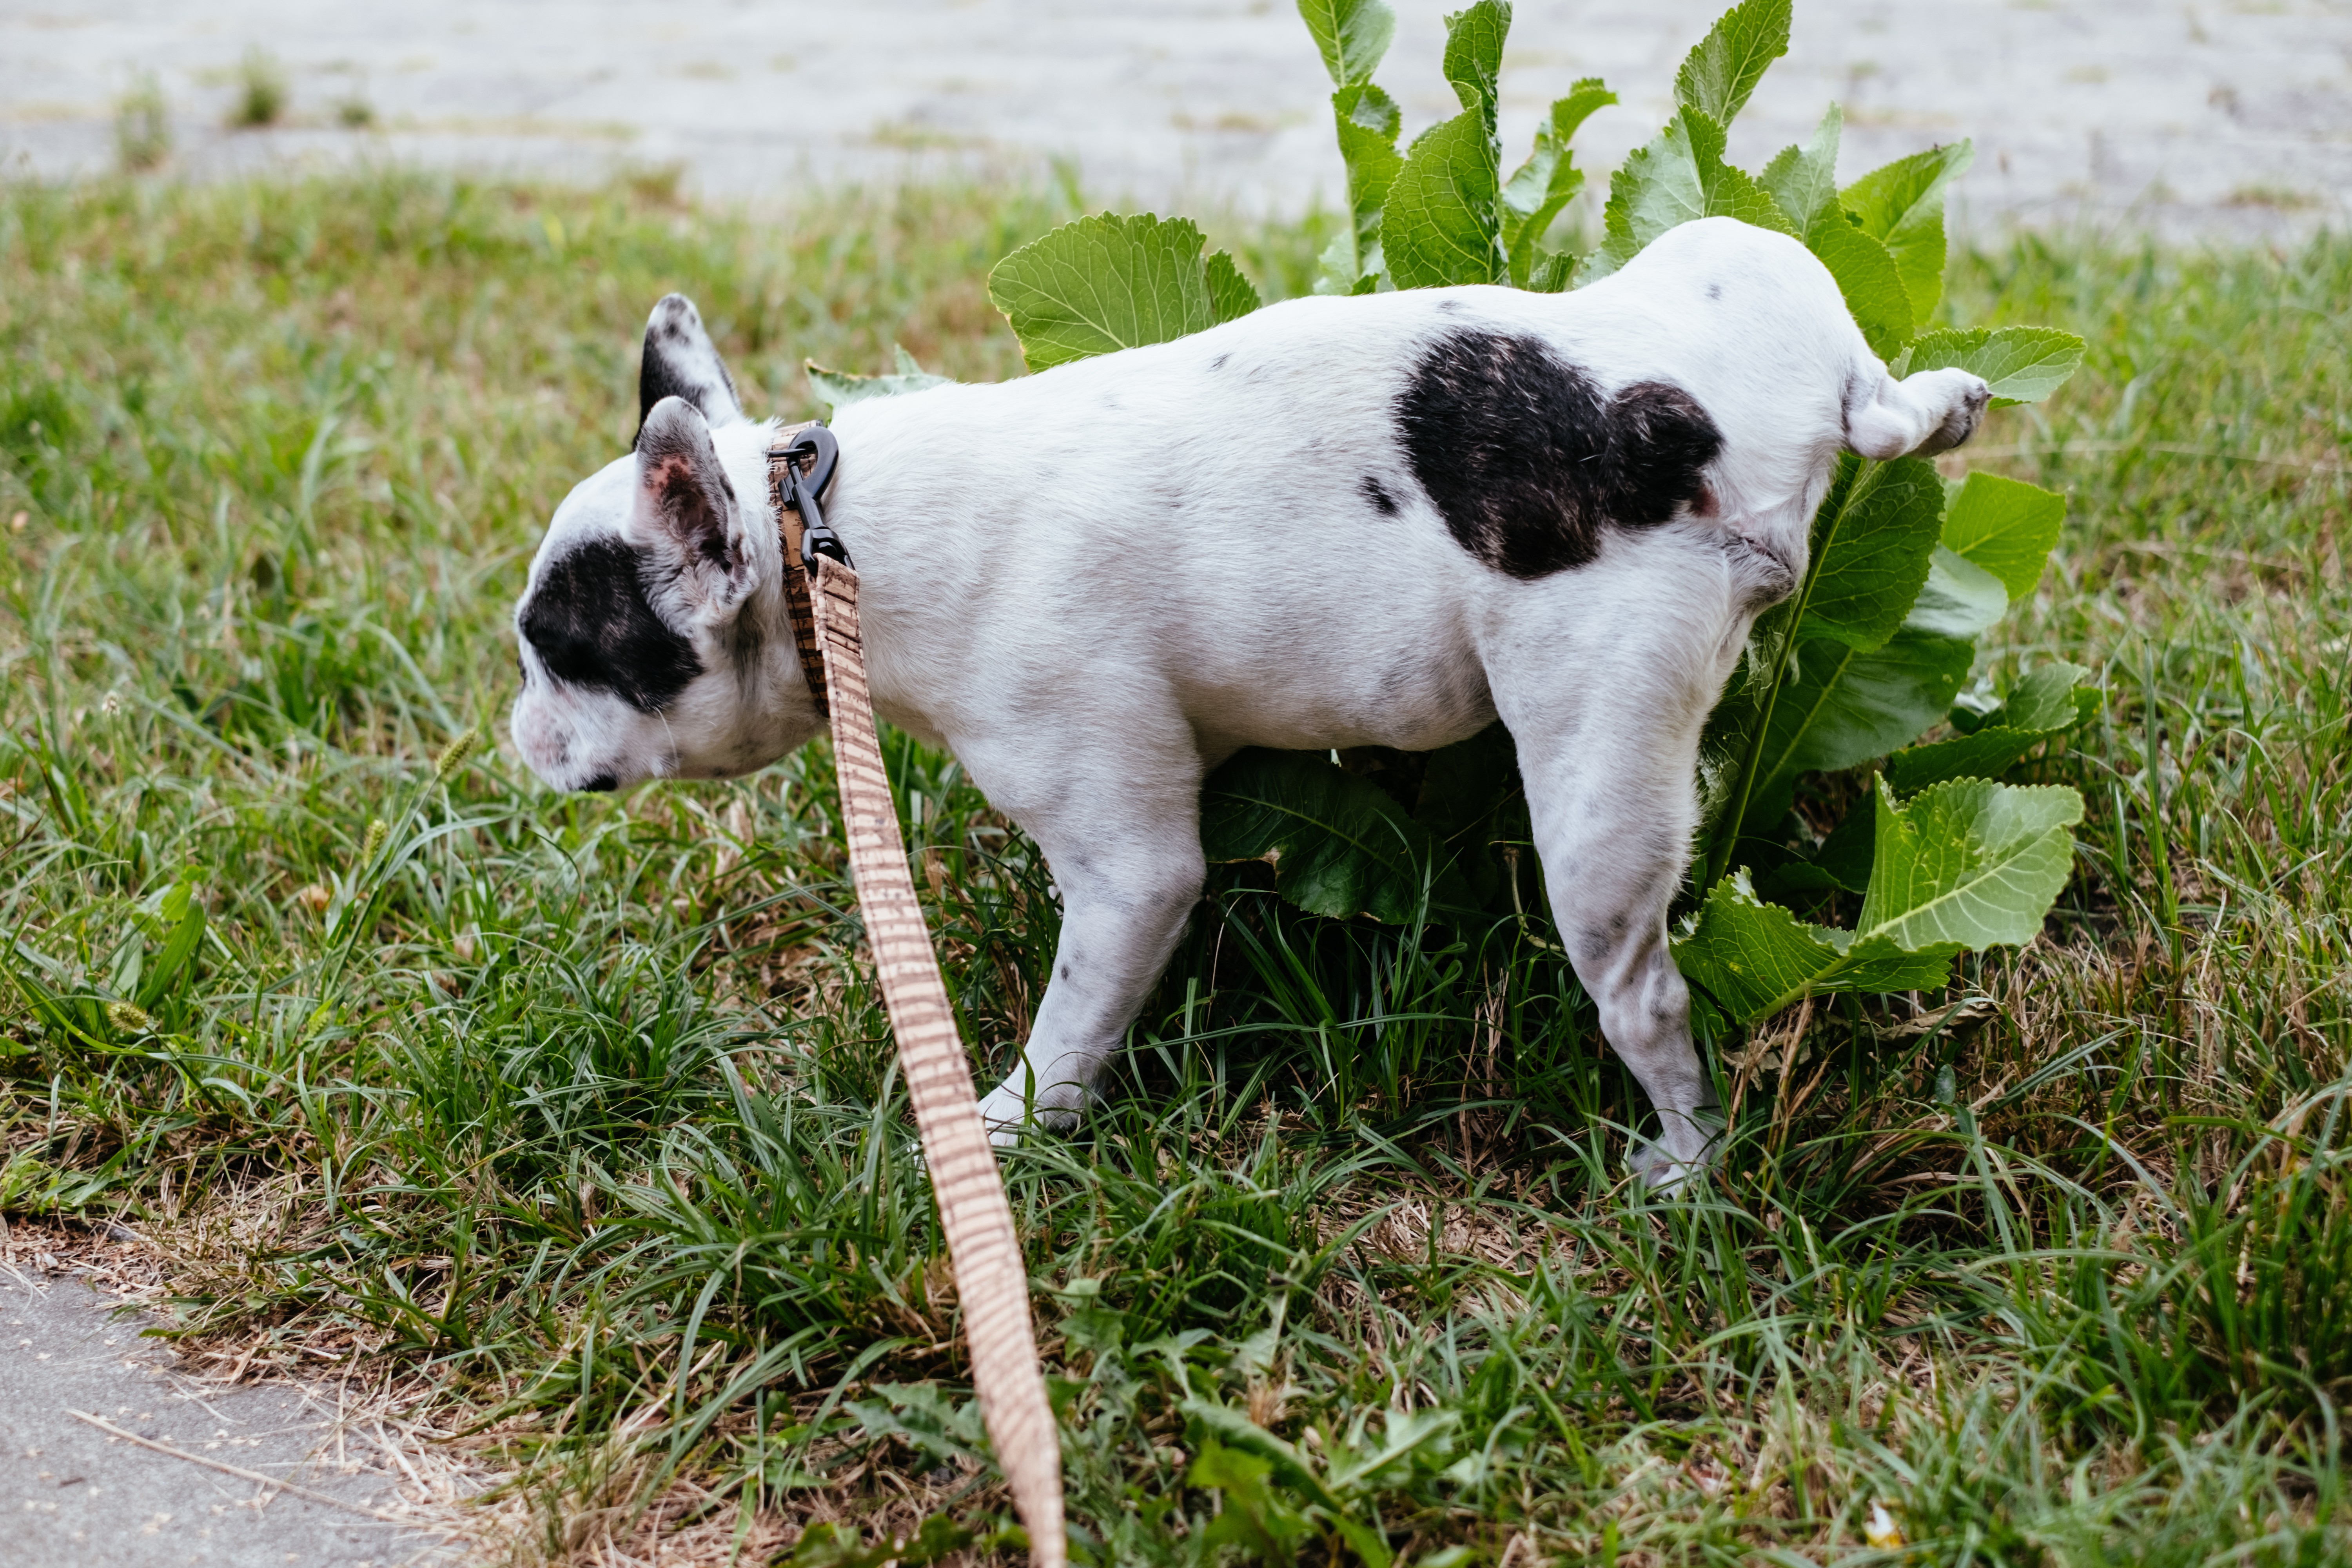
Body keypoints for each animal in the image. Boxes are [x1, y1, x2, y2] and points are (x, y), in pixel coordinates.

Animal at [510, 221, 1985, 1189]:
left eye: (558, 652)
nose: (515, 726)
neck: (826, 538)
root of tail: (1680, 417)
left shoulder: (1128, 867)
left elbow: (1072, 1021)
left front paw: (1007, 1129)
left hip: (1597, 789)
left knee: (1644, 997)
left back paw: (1684, 1164)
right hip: (1746, 259)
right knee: (1880, 395)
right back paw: (1942, 403)